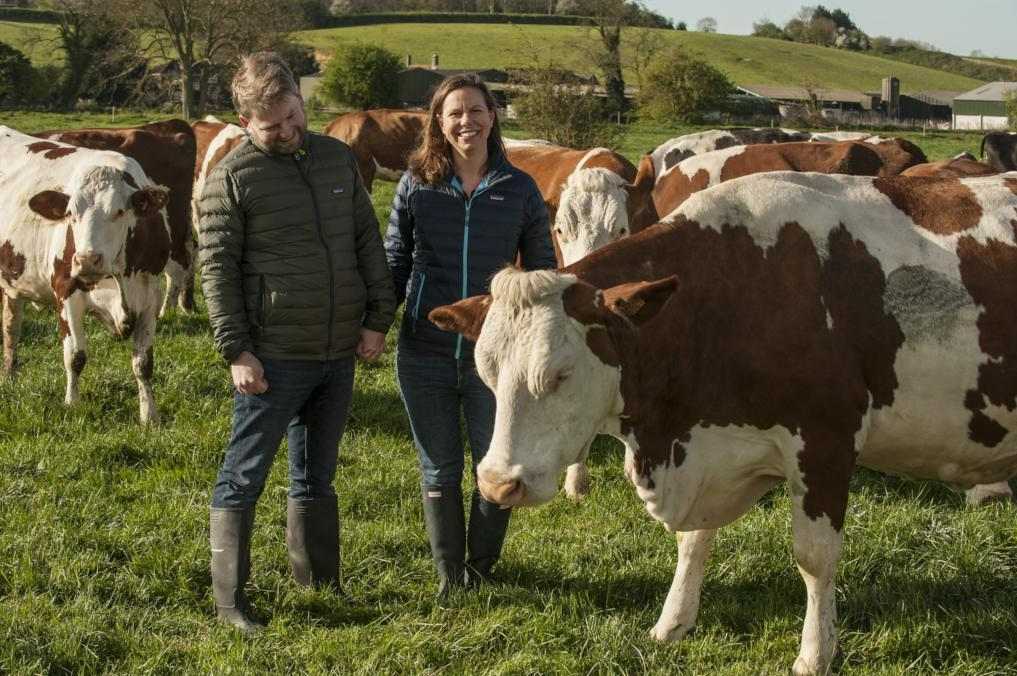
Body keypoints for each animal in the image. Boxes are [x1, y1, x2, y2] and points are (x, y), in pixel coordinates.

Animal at [0, 124, 170, 424]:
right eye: (70, 214)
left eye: (120, 211)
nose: (87, 260)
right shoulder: (66, 291)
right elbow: (75, 355)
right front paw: (72, 403)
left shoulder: (150, 296)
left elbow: (143, 363)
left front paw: (149, 415)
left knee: (11, 326)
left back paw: (9, 375)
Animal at [427, 169, 1016, 674]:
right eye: (486, 370)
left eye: (561, 374)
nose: (497, 483)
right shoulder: (704, 446)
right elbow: (693, 542)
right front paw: (673, 622)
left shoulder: (825, 441)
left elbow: (814, 558)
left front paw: (815, 654)